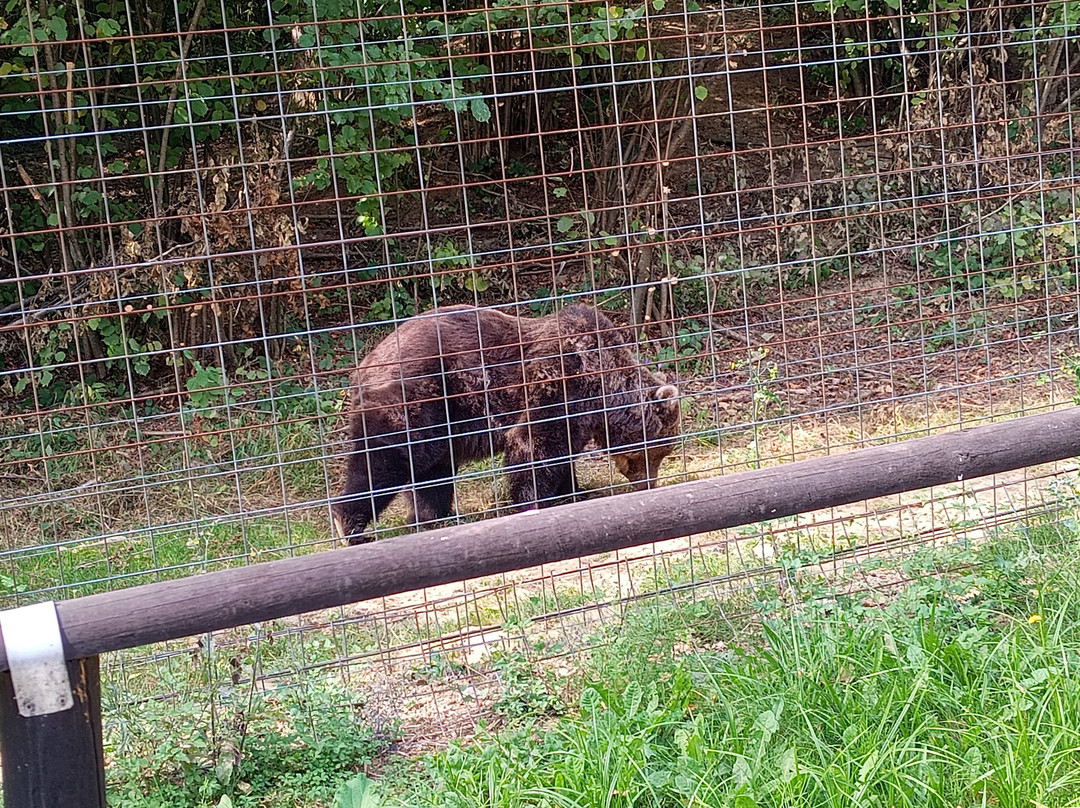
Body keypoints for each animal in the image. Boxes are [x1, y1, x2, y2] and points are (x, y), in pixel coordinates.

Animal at [331, 303, 680, 545]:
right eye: (658, 453)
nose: (650, 483)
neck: (604, 390)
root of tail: (365, 364)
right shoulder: (556, 383)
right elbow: (535, 447)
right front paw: (535, 502)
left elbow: (562, 454)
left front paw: (574, 491)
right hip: (416, 399)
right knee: (385, 460)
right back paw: (351, 525)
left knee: (433, 470)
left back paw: (437, 516)